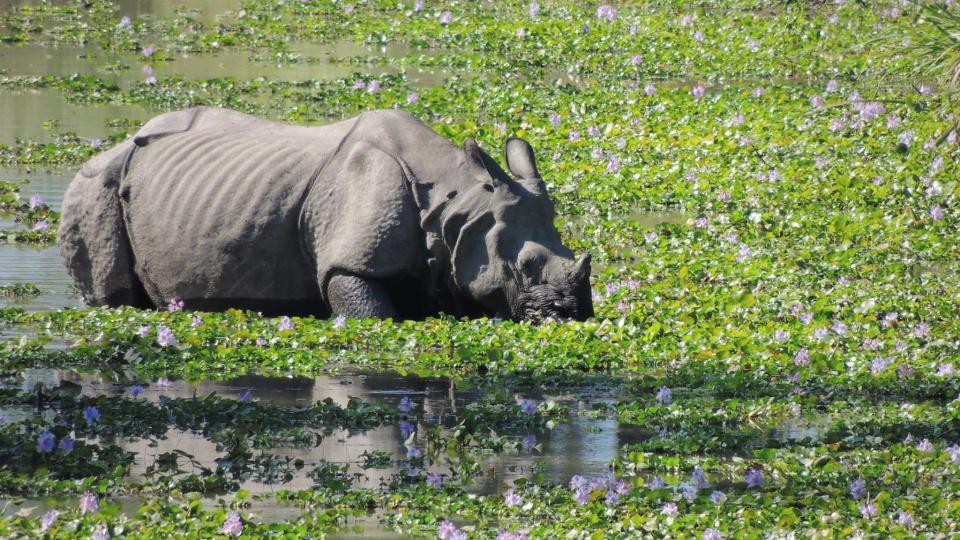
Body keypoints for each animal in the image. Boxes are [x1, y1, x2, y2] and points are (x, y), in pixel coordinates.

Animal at [60, 107, 592, 322]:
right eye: (524, 267)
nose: (572, 316)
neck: (457, 205)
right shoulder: (348, 261)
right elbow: (368, 308)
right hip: (95, 183)